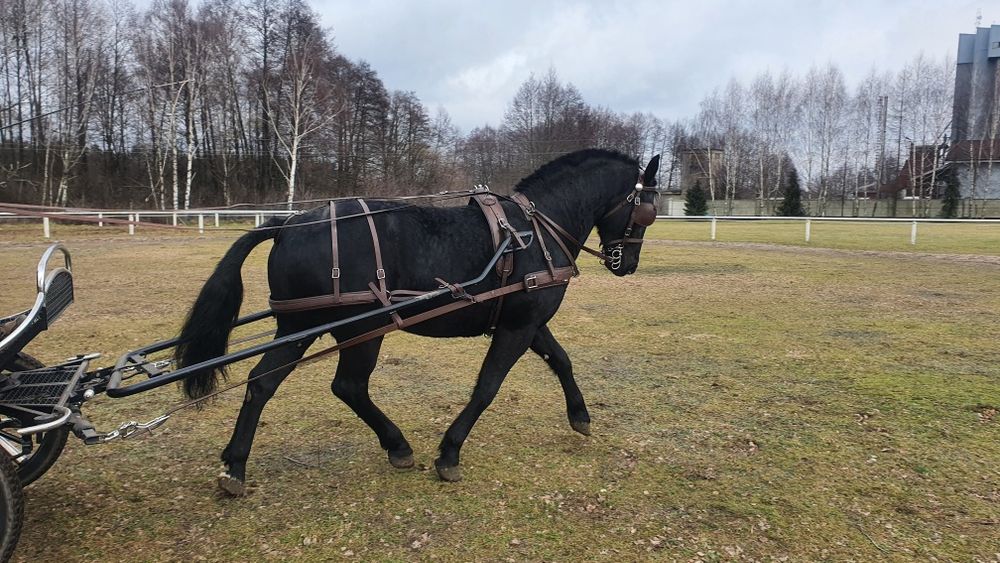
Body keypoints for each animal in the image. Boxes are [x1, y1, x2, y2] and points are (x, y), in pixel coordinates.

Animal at [176, 149, 660, 494]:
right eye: (646, 211)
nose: (628, 263)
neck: (535, 230)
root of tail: (288, 224)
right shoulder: (518, 328)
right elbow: (488, 387)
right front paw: (449, 453)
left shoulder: (529, 322)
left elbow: (561, 361)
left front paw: (580, 415)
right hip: (358, 330)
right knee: (347, 387)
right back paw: (396, 445)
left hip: (297, 328)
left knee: (262, 383)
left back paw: (235, 464)